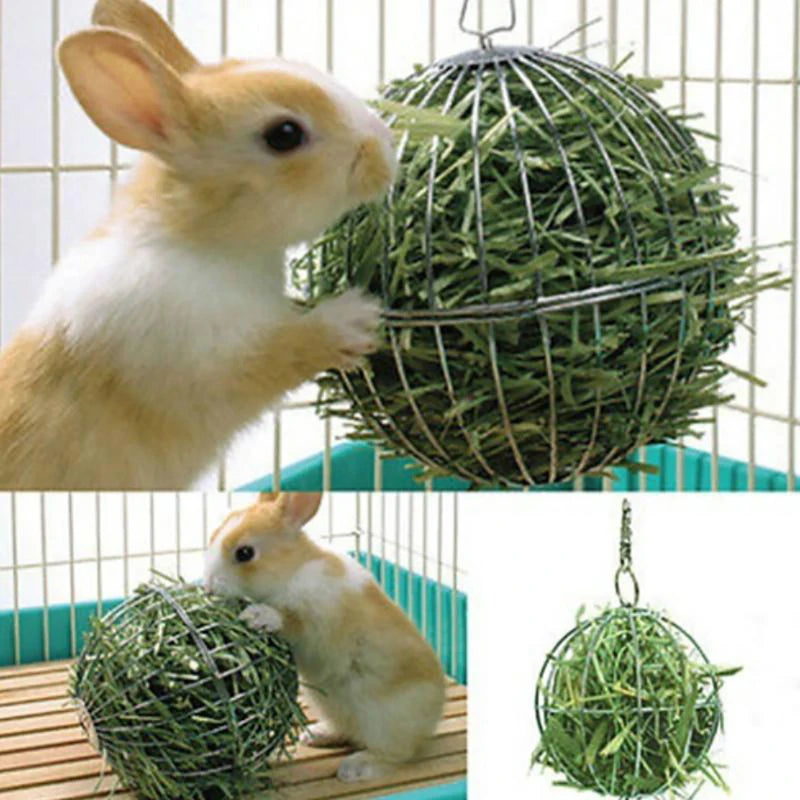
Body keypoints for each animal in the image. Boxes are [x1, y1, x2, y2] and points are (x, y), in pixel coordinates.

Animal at [0, 0, 395, 489]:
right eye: (284, 134)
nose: (386, 148)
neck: (200, 241)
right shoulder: (208, 360)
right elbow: (283, 351)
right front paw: (356, 318)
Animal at [204, 492, 447, 783]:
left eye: (245, 553)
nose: (208, 585)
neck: (292, 570)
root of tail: (433, 719)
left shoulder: (316, 620)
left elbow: (290, 620)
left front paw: (256, 615)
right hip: (331, 706)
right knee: (348, 731)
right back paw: (315, 735)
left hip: (384, 720)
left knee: (396, 755)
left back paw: (355, 768)